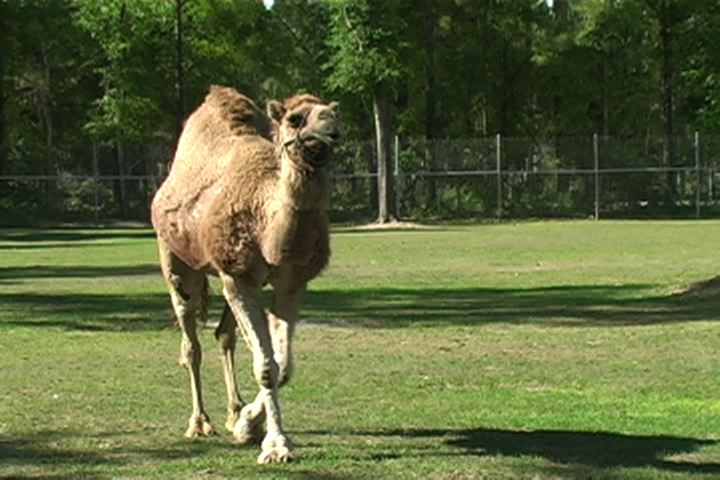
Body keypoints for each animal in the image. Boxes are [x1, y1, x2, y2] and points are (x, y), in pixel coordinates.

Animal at [150, 84, 340, 464]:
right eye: (295, 118)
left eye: (335, 117)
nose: (330, 131)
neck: (269, 226)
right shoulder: (238, 277)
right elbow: (266, 366)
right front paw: (275, 445)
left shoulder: (292, 281)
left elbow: (283, 364)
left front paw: (249, 425)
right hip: (176, 259)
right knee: (190, 340)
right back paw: (199, 423)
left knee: (224, 335)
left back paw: (233, 411)